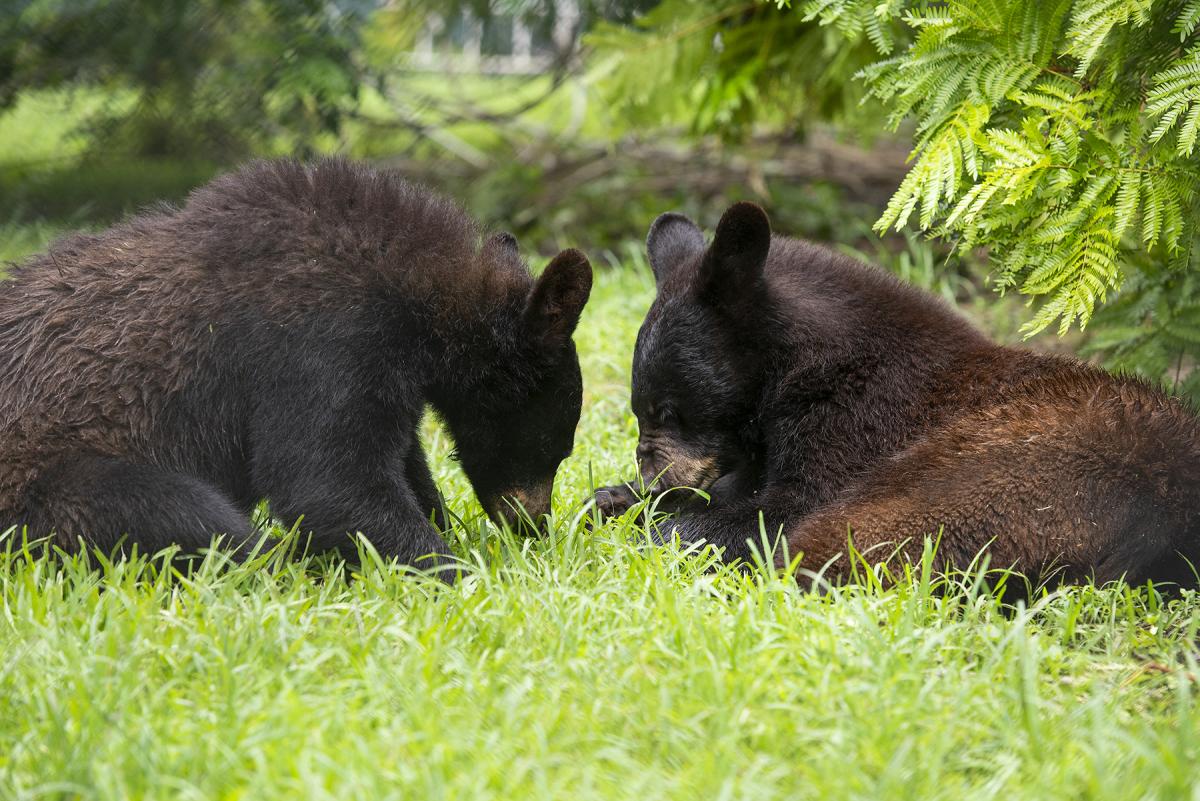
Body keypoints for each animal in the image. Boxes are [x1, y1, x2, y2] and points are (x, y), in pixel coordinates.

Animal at [0, 158, 593, 571]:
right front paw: (453, 571)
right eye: (555, 444)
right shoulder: (321, 340)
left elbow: (399, 460)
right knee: (185, 516)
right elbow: (324, 479)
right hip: (49, 488)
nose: (533, 524)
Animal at [594, 201, 1200, 590]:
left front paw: (659, 523)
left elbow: (781, 507)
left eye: (668, 410)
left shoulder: (856, 415)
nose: (650, 470)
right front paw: (615, 496)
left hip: (1013, 472)